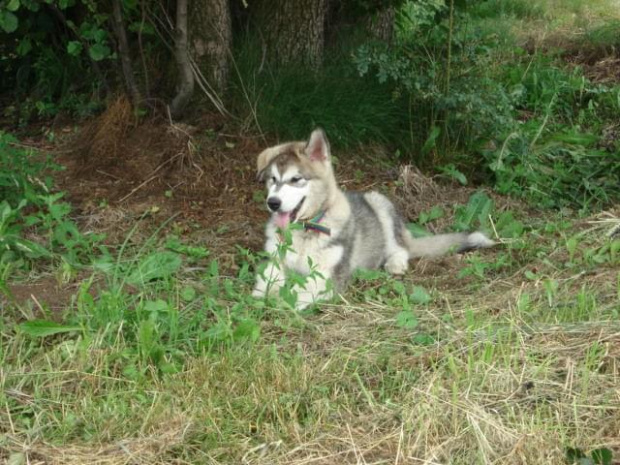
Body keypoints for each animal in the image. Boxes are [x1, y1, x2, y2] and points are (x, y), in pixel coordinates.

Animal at [252, 128, 494, 308]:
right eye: (272, 179)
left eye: (296, 179)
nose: (272, 203)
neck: (305, 231)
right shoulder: (274, 262)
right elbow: (267, 282)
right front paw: (261, 296)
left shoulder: (328, 277)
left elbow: (296, 292)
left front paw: (279, 300)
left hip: (379, 202)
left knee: (401, 248)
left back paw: (395, 263)